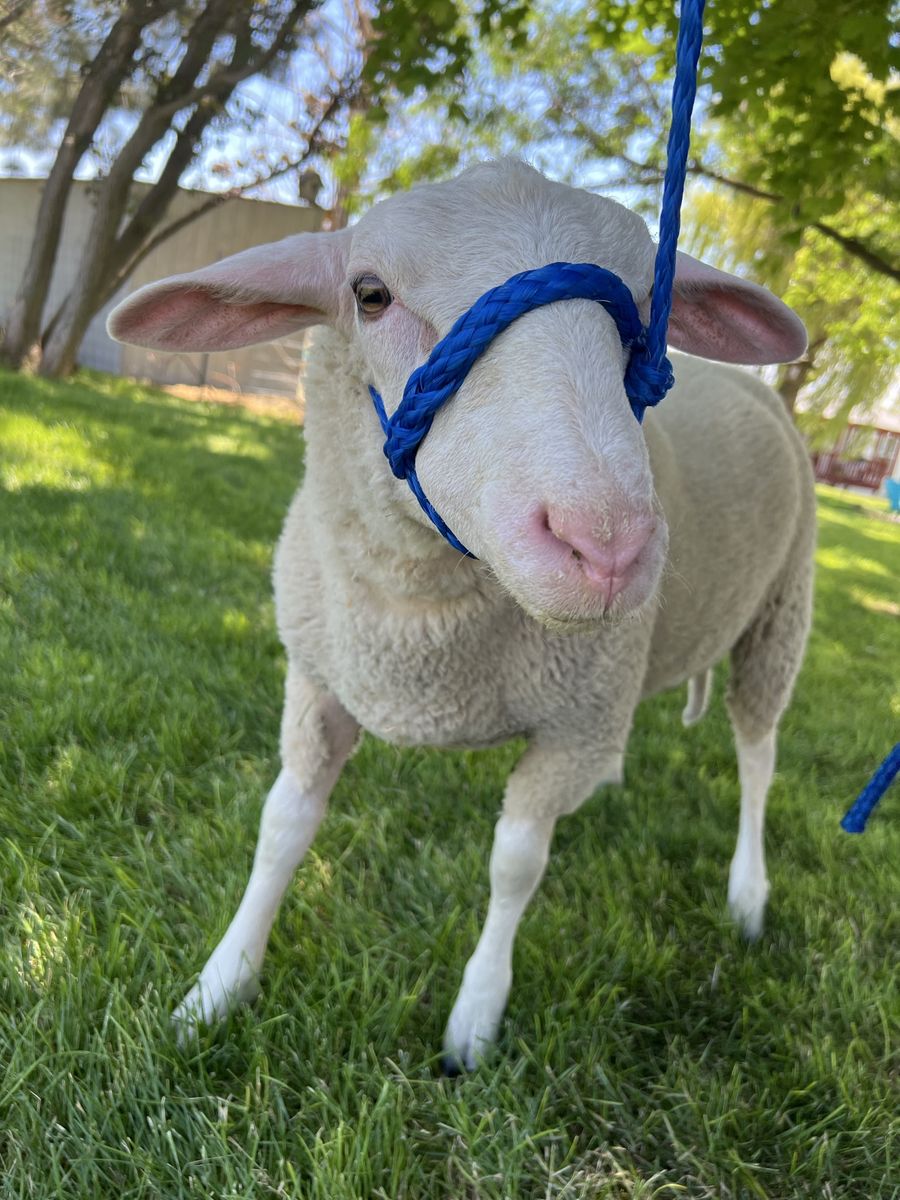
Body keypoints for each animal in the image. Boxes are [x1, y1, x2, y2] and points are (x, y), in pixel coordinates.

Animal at [108, 160, 815, 1071]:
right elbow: (282, 825)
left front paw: (475, 1019)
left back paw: (748, 893)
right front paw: (218, 988)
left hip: (781, 610)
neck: (422, 629)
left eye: (645, 322)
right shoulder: (320, 677)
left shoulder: (569, 724)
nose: (607, 545)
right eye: (369, 294)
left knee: (758, 756)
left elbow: (515, 865)